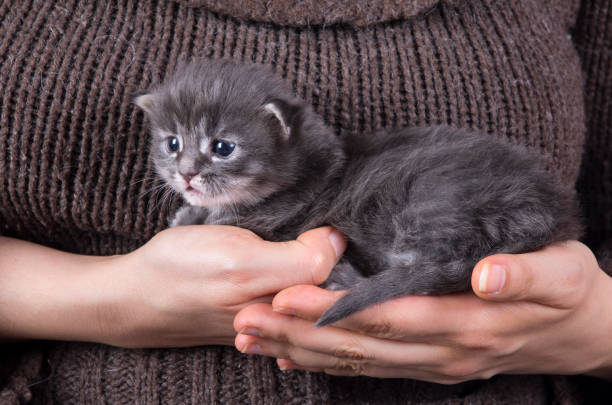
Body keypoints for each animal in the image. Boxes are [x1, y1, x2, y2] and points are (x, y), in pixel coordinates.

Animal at [136, 59, 580, 326]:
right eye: (172, 143)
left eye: (223, 147)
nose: (186, 174)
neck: (308, 172)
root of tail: (548, 212)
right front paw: (187, 214)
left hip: (427, 205)